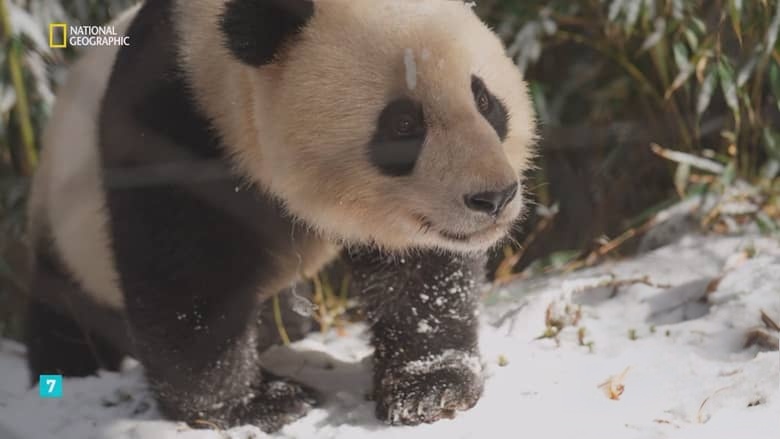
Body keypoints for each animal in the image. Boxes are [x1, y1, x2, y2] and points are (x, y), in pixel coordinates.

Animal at [25, 0, 536, 432]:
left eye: (485, 100)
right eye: (404, 124)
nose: (494, 197)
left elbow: (420, 272)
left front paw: (430, 385)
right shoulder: (171, 126)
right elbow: (184, 278)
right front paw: (257, 404)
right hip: (66, 229)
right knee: (65, 314)